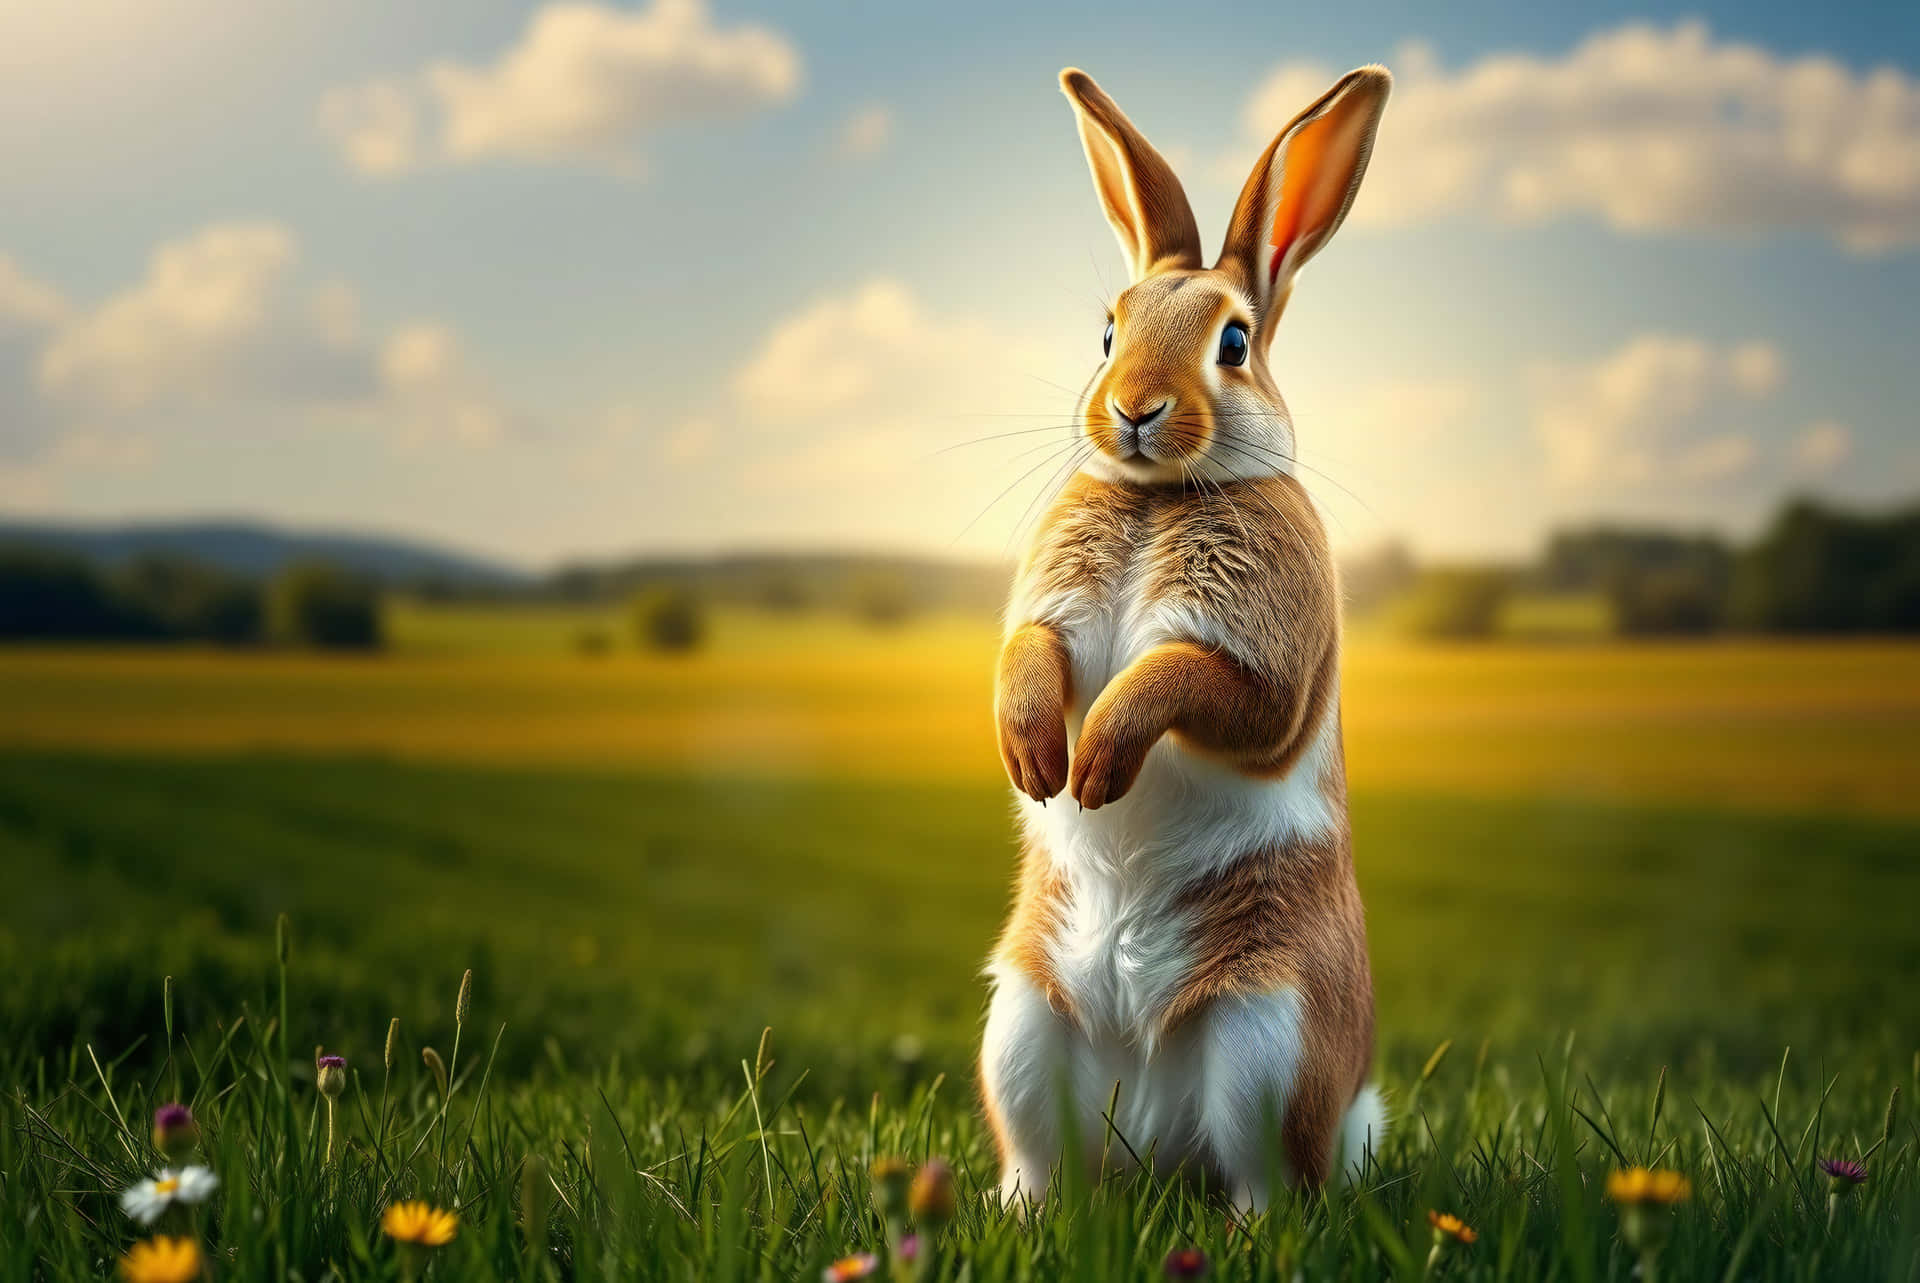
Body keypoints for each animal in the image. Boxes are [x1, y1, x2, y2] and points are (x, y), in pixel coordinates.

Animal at [978, 64, 1393, 1211]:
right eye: (1107, 331)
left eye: (1234, 342)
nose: (1132, 409)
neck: (1161, 495)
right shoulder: (1049, 613)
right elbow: (1028, 655)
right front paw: (1037, 758)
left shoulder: (1260, 663)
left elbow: (1184, 683)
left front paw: (1096, 766)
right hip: (1019, 1024)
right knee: (1042, 1157)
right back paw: (1022, 1211)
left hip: (1270, 1035)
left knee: (1267, 1178)